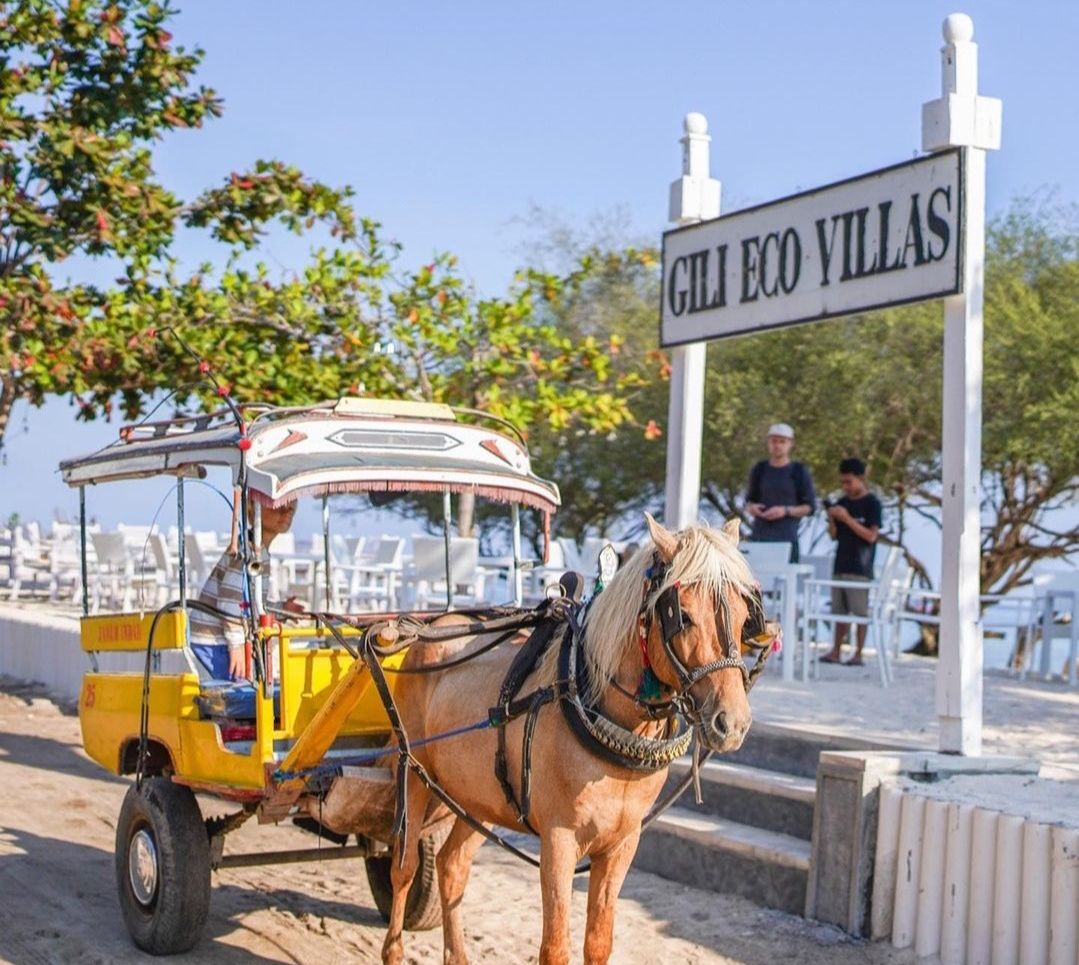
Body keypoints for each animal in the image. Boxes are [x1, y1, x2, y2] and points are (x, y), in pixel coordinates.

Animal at [379, 518, 768, 965]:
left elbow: (598, 942)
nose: (731, 722)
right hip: (414, 771)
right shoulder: (558, 841)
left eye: (745, 617)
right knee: (404, 865)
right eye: (682, 616)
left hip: (479, 795)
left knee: (451, 866)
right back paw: (393, 949)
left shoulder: (621, 844)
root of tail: (433, 628)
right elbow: (555, 947)